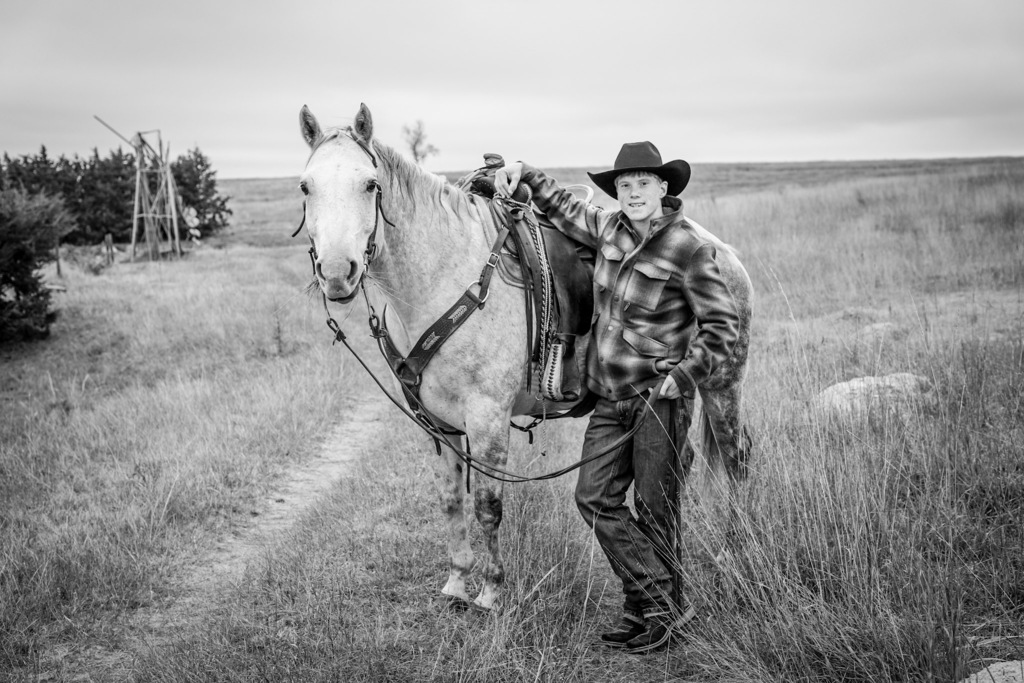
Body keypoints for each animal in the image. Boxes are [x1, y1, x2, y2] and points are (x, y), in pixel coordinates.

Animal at [297, 102, 753, 611]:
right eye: (305, 186)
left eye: (370, 184)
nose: (337, 273)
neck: (444, 279)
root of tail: (720, 251)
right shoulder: (438, 423)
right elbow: (452, 499)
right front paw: (457, 581)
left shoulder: (488, 418)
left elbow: (488, 507)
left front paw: (491, 590)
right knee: (686, 460)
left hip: (722, 382)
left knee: (734, 459)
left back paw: (732, 555)